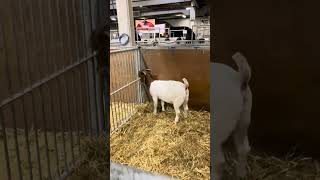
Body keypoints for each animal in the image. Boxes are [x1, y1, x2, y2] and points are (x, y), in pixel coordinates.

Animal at [211, 51, 254, 179]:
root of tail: (239, 78)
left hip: (219, 124)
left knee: (219, 161)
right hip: (244, 119)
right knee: (244, 148)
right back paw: (241, 174)